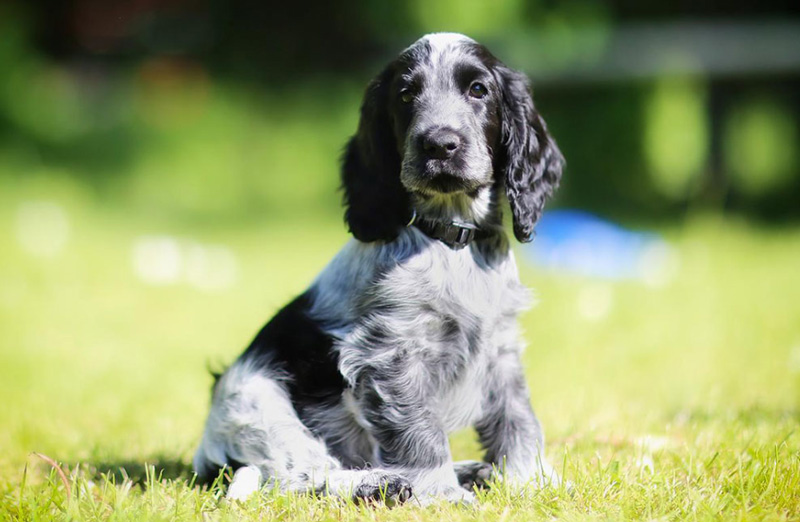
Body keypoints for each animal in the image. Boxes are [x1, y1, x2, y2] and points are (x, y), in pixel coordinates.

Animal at [193, 30, 564, 502]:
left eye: (478, 90)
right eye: (405, 96)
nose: (439, 144)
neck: (452, 241)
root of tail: (206, 454)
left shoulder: (500, 349)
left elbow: (517, 418)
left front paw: (529, 481)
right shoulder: (390, 354)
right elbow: (420, 433)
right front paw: (439, 494)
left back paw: (468, 470)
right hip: (259, 404)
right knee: (302, 475)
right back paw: (384, 482)